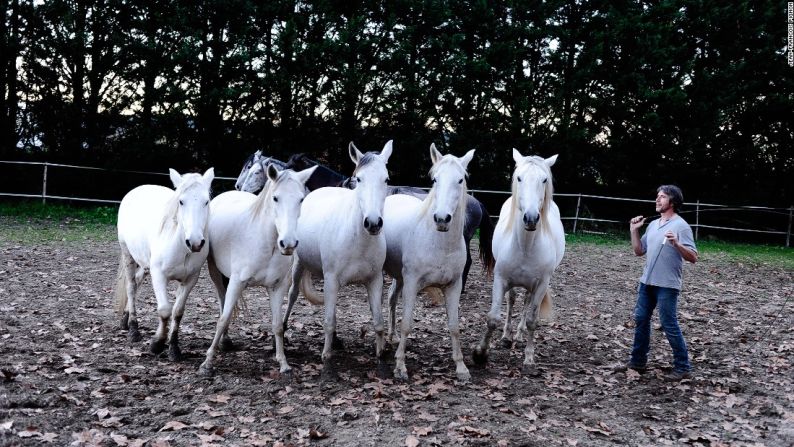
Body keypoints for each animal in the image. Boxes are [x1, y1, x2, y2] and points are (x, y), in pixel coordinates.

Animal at [114, 168, 213, 360]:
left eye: (206, 201)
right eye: (181, 201)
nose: (195, 242)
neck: (181, 246)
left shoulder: (190, 279)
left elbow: (177, 312)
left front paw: (174, 348)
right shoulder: (158, 276)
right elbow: (165, 310)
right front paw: (157, 344)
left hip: (144, 264)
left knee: (137, 283)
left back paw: (125, 319)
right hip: (128, 254)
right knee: (131, 287)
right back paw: (133, 329)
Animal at [198, 164, 316, 378]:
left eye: (301, 199)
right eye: (275, 198)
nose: (288, 244)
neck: (265, 243)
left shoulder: (278, 287)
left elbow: (277, 325)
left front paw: (283, 363)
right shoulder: (236, 282)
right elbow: (223, 319)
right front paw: (207, 362)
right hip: (216, 273)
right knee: (222, 302)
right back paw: (224, 341)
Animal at [284, 140, 392, 378]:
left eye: (386, 179)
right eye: (359, 179)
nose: (373, 223)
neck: (358, 239)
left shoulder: (374, 281)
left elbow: (379, 322)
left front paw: (381, 358)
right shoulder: (332, 279)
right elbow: (328, 322)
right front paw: (327, 361)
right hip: (299, 265)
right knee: (293, 294)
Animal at [382, 145, 474, 384]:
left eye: (460, 180)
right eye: (435, 179)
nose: (442, 219)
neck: (439, 244)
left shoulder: (454, 286)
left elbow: (454, 327)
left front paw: (461, 368)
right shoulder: (413, 283)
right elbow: (407, 323)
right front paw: (400, 367)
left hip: (400, 277)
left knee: (391, 298)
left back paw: (392, 337)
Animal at [470, 152, 564, 372]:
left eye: (544, 180)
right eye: (519, 178)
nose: (530, 218)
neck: (526, 247)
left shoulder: (541, 285)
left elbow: (532, 320)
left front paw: (529, 358)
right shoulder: (500, 280)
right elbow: (493, 318)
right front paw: (480, 354)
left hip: (532, 287)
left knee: (526, 303)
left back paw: (519, 336)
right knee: (512, 300)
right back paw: (506, 336)